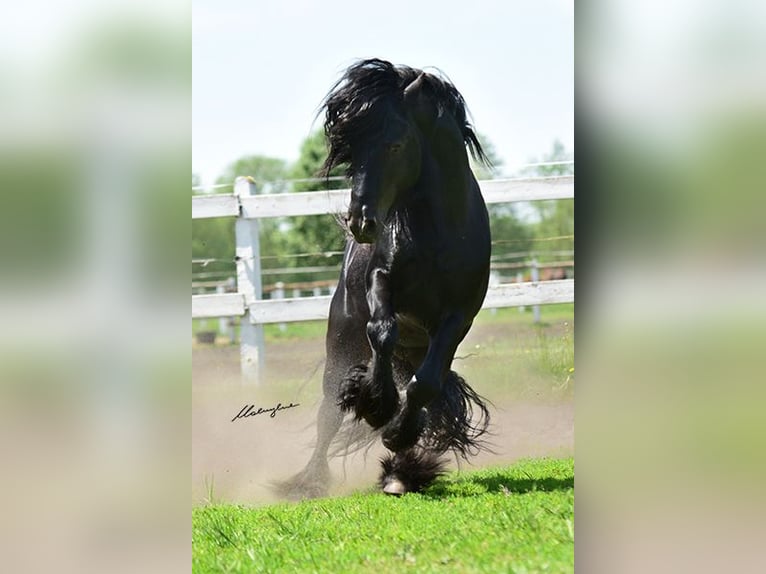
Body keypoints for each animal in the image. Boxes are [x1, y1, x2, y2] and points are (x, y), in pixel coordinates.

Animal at [278, 59, 492, 500]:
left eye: (395, 144)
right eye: (352, 151)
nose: (360, 223)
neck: (438, 233)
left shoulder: (457, 317)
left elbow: (425, 385)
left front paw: (397, 433)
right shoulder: (381, 282)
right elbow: (381, 331)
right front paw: (375, 403)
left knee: (420, 386)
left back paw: (399, 472)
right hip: (340, 340)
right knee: (328, 412)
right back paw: (309, 481)